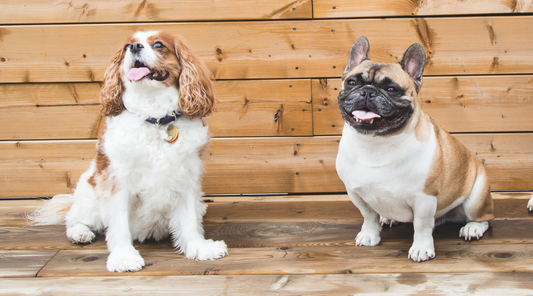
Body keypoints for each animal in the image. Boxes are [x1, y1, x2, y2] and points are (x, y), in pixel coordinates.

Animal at [29, 31, 227, 272]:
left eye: (158, 44)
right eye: (126, 46)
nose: (134, 47)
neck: (155, 118)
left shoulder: (186, 176)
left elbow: (189, 219)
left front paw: (198, 247)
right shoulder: (118, 180)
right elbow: (120, 223)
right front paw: (124, 257)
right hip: (89, 196)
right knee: (74, 218)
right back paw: (80, 232)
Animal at [336, 36, 494, 262]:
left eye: (392, 89)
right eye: (351, 82)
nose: (367, 91)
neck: (376, 142)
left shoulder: (424, 198)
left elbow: (421, 226)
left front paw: (421, 248)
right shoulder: (356, 193)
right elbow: (369, 216)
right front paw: (369, 235)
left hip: (477, 198)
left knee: (484, 218)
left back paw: (472, 228)